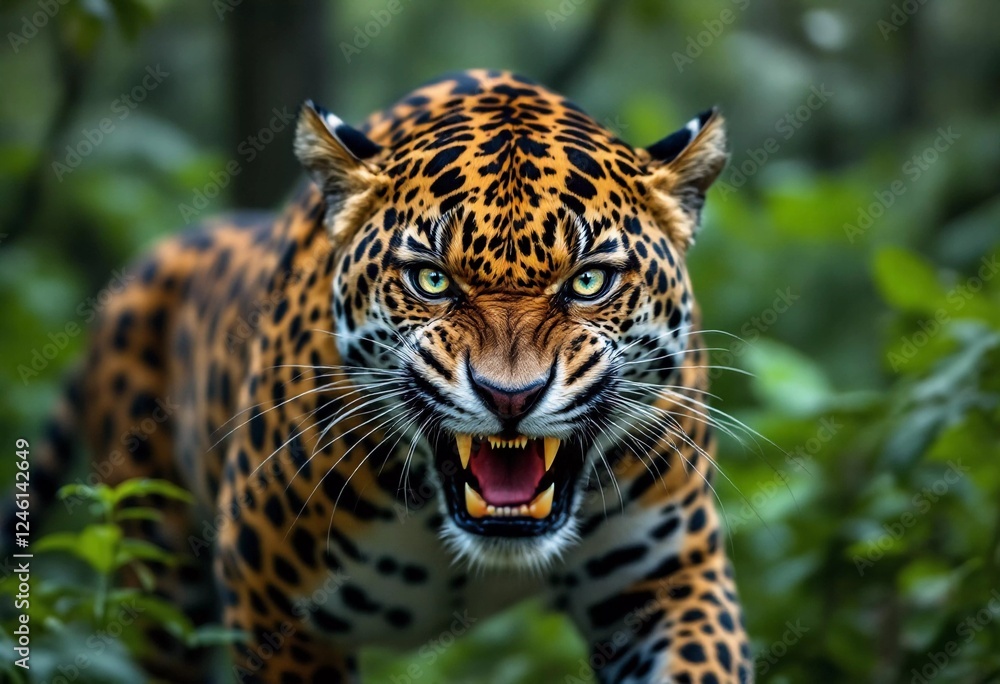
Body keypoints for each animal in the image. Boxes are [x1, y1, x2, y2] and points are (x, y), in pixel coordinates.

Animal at [14, 69, 752, 683]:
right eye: (431, 280)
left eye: (590, 281)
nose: (509, 397)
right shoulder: (270, 603)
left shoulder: (672, 579)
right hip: (153, 570)